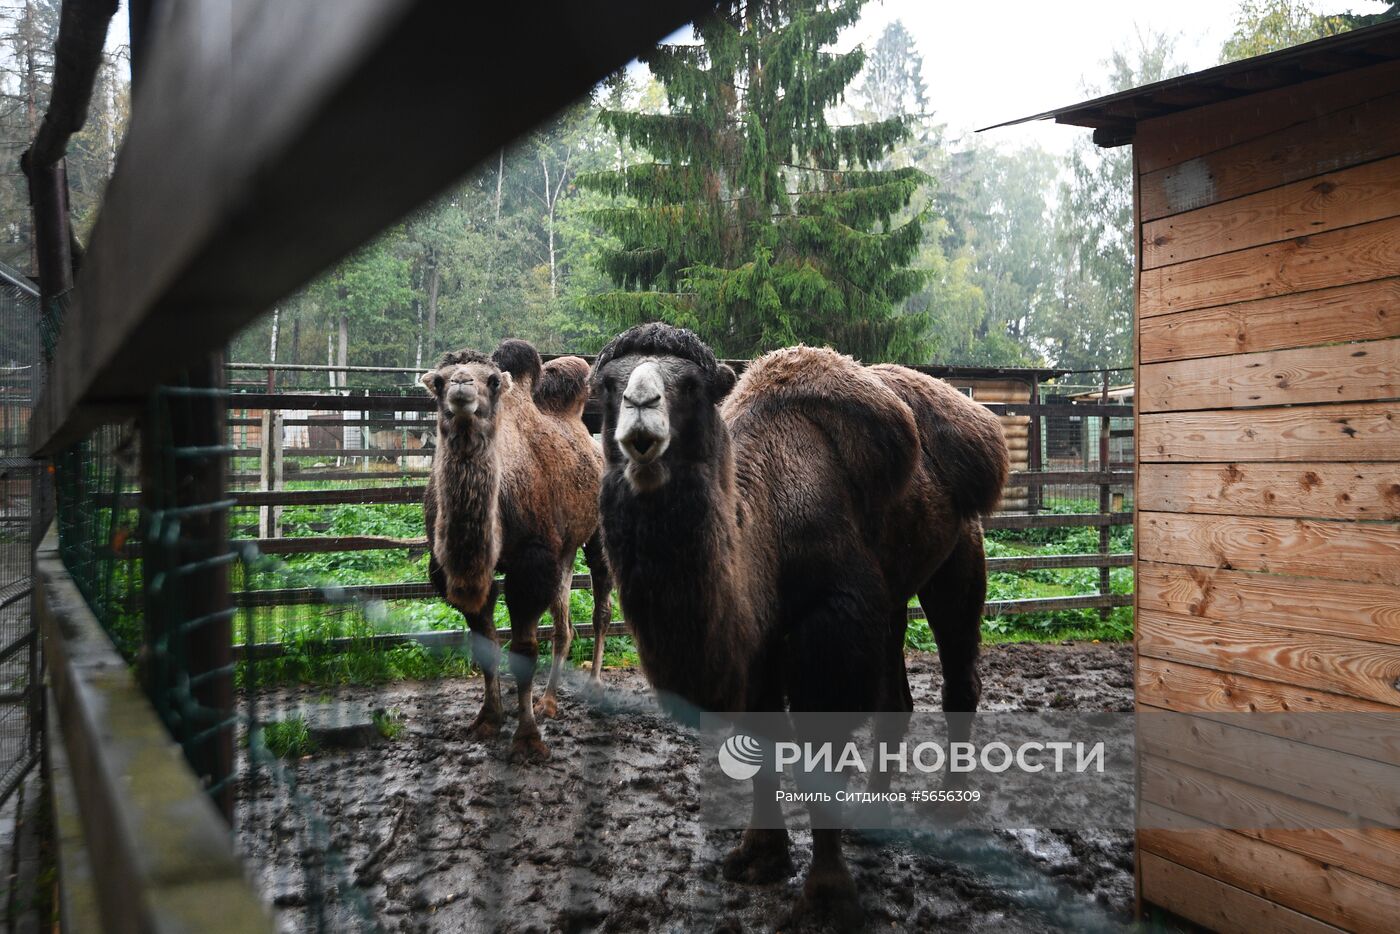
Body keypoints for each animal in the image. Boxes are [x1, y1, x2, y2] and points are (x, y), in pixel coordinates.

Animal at [417, 340, 610, 761]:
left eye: (491, 380)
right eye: (438, 381)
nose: (460, 386)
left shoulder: (530, 563)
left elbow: (523, 650)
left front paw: (527, 738)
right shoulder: (454, 572)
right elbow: (486, 643)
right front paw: (488, 718)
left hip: (597, 537)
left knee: (601, 605)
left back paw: (593, 685)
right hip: (563, 551)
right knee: (564, 624)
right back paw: (549, 701)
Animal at [590, 324, 1008, 924]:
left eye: (690, 387)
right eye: (605, 388)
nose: (641, 410)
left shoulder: (830, 622)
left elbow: (819, 745)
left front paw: (827, 892)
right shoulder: (760, 646)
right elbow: (762, 738)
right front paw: (759, 854)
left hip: (959, 556)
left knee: (959, 679)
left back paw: (949, 811)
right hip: (891, 598)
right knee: (895, 700)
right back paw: (873, 814)